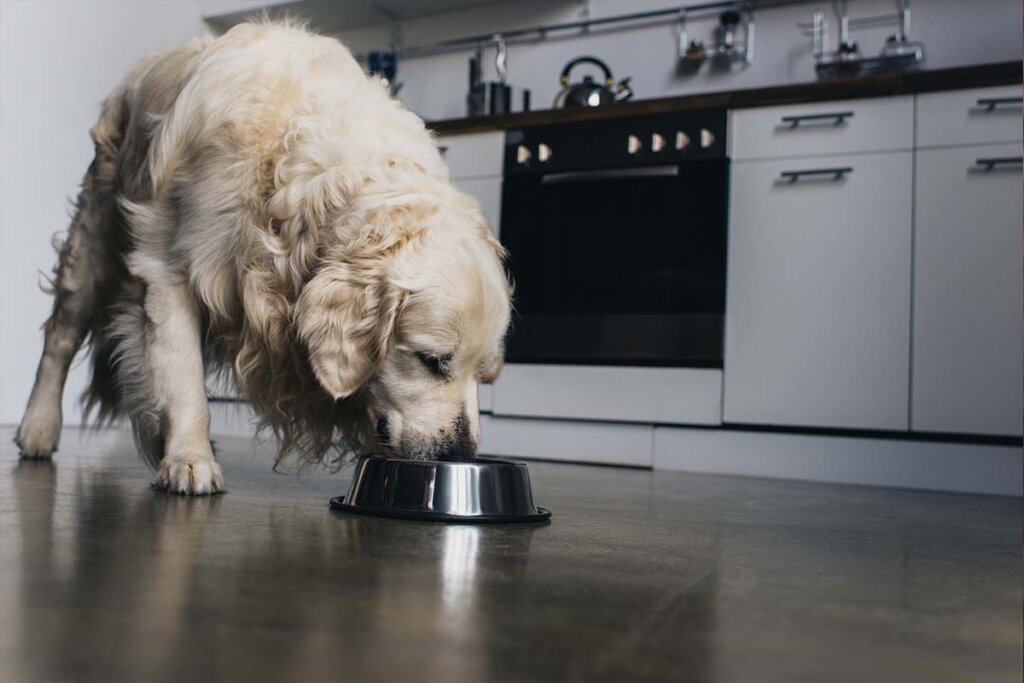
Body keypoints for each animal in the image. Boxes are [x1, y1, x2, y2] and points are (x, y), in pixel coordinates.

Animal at [14, 18, 509, 493]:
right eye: (431, 361)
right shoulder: (170, 269)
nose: (460, 456)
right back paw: (38, 428)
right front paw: (189, 459)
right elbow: (184, 379)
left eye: (484, 374)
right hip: (93, 238)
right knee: (60, 338)